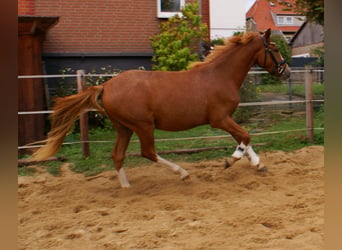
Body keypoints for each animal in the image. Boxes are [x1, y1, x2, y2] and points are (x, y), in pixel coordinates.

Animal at [33, 29, 292, 188]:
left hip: (124, 127)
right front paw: (231, 161)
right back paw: (183, 173)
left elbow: (244, 138)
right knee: (148, 152)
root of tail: (105, 85)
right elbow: (245, 136)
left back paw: (126, 186)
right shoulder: (219, 119)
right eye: (275, 48)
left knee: (118, 155)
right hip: (143, 125)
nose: (286, 71)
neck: (220, 75)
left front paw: (258, 164)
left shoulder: (226, 118)